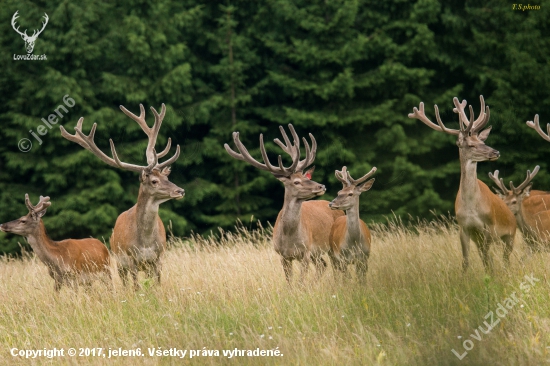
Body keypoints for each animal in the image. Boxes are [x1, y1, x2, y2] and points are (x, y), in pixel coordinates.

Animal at [61, 103, 183, 288]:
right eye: (154, 181)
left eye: (167, 178)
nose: (180, 191)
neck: (145, 243)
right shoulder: (131, 258)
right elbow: (136, 287)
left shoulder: (158, 257)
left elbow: (157, 285)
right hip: (119, 263)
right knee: (126, 284)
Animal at [225, 125, 344, 284]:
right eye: (296, 182)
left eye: (306, 178)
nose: (322, 186)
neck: (289, 237)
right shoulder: (283, 255)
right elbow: (290, 283)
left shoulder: (306, 251)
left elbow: (300, 282)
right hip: (317, 253)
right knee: (323, 265)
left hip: (331, 245)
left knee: (335, 267)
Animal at [410, 96, 516, 270]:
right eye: (471, 144)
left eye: (482, 141)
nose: (496, 152)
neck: (471, 207)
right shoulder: (464, 228)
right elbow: (466, 261)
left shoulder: (489, 226)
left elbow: (487, 258)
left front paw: (491, 275)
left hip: (510, 235)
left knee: (505, 259)